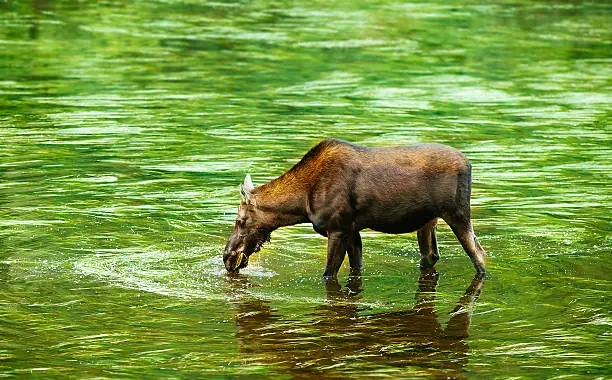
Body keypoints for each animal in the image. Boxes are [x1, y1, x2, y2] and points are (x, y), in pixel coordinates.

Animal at [222, 140, 486, 280]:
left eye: (240, 220)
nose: (227, 255)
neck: (301, 205)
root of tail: (470, 164)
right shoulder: (353, 229)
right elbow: (356, 267)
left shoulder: (338, 227)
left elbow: (329, 273)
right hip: (428, 220)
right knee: (430, 256)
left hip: (457, 213)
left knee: (479, 255)